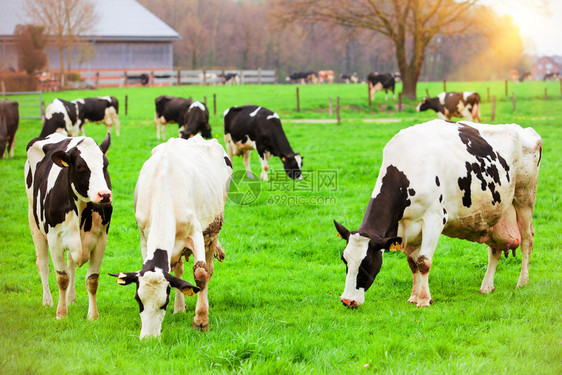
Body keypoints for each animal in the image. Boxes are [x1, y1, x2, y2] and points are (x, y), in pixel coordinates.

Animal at [25, 132, 111, 320]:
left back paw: (71, 298)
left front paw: (93, 316)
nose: (105, 195)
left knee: (71, 264)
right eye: (80, 166)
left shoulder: (101, 240)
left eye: (105, 165)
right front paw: (61, 313)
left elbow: (92, 279)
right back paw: (47, 301)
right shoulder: (54, 240)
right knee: (43, 264)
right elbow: (62, 277)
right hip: (34, 223)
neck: (81, 210)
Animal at [109, 135, 232, 340]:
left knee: (208, 269)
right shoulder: (144, 236)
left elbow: (201, 275)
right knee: (178, 270)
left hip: (213, 231)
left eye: (163, 303)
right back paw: (180, 307)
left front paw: (201, 321)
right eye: (138, 300)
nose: (148, 338)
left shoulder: (196, 233)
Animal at [332, 119, 540, 308]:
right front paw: (414, 296)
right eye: (344, 260)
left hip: (525, 198)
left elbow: (424, 261)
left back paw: (522, 281)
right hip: (494, 214)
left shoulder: (434, 219)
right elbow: (413, 262)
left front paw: (424, 300)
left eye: (366, 263)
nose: (347, 300)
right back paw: (487, 286)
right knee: (494, 249)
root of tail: (524, 129)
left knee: (527, 240)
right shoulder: (406, 226)